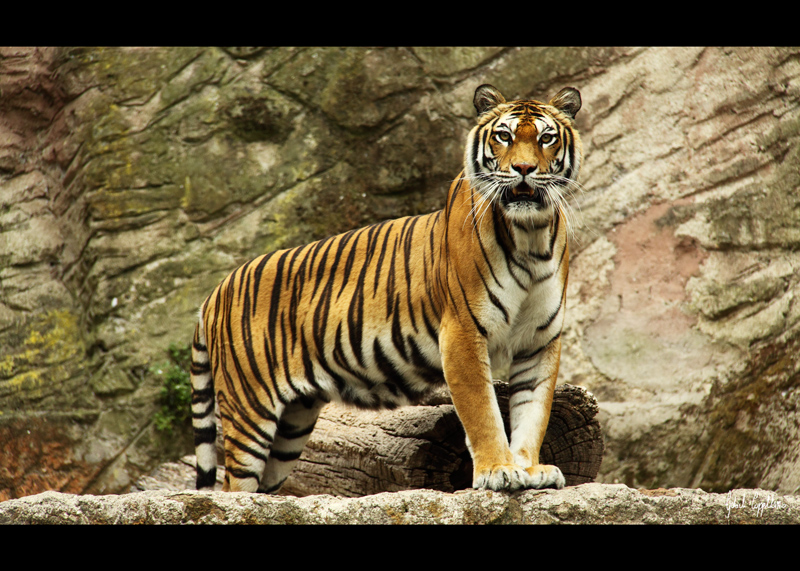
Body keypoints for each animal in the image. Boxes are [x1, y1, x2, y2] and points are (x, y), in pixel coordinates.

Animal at [190, 83, 583, 493]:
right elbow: (482, 411)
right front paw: (497, 471)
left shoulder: (540, 340)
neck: (530, 234)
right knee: (234, 490)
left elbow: (533, 411)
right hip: (250, 409)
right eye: (504, 136)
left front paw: (529, 470)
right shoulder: (462, 331)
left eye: (546, 138)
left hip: (291, 425)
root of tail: (214, 293)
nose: (523, 169)